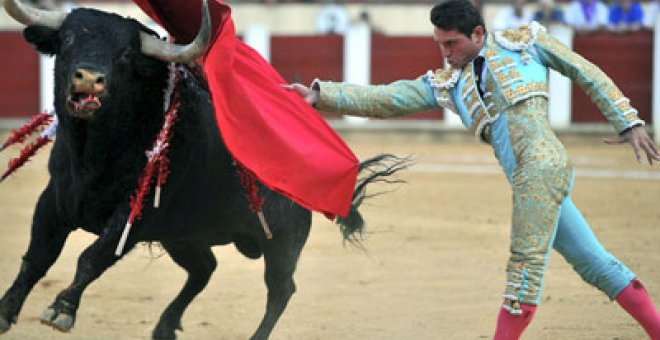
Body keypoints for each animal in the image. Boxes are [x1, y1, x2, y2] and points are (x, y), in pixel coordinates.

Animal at [0, 3, 408, 340]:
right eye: (68, 38)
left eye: (126, 54)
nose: (88, 79)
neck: (95, 154)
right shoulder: (53, 202)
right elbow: (37, 258)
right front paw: (5, 312)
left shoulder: (136, 217)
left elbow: (92, 256)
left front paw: (61, 310)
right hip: (184, 236)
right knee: (205, 268)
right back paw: (164, 327)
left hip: (281, 242)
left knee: (280, 290)